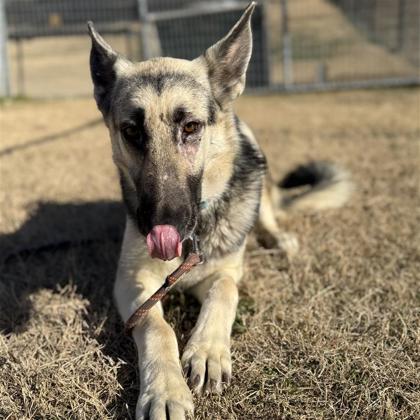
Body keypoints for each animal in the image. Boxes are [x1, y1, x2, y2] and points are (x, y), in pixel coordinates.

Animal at [87, 3, 351, 418]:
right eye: (131, 131)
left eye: (191, 127)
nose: (163, 225)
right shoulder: (132, 282)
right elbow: (157, 326)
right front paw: (165, 389)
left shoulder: (226, 271)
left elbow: (224, 290)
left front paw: (207, 350)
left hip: (260, 179)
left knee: (268, 219)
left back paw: (281, 241)